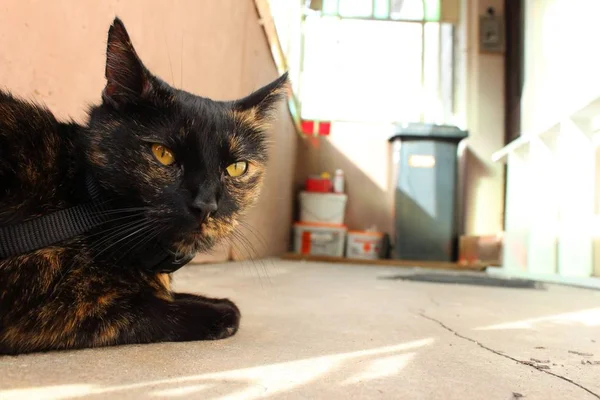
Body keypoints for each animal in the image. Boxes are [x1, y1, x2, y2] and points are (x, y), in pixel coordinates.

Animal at [0, 17, 288, 354]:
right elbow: (149, 309)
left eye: (236, 167)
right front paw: (219, 310)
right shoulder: (53, 308)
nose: (206, 205)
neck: (86, 201)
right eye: (163, 154)